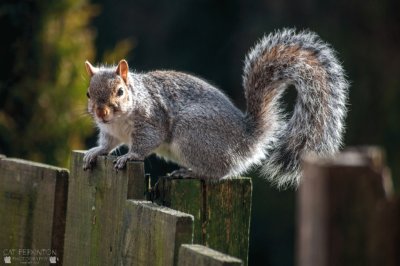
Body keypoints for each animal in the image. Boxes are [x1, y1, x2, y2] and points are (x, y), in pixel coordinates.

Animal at [83, 28, 348, 187]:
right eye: (88, 93)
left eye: (120, 92)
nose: (101, 112)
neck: (119, 120)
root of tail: (248, 138)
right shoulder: (109, 132)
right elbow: (107, 144)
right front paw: (94, 152)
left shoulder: (151, 120)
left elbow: (146, 142)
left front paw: (129, 156)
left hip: (193, 133)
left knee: (218, 172)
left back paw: (190, 172)